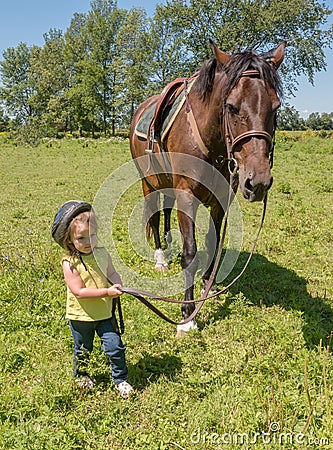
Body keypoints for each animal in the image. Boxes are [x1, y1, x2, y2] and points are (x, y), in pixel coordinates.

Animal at [128, 39, 284, 334]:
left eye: (276, 107)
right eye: (232, 107)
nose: (258, 182)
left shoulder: (221, 198)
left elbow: (212, 242)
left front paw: (208, 285)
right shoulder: (187, 195)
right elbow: (191, 253)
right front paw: (188, 314)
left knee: (166, 211)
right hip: (148, 181)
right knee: (153, 215)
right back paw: (161, 258)